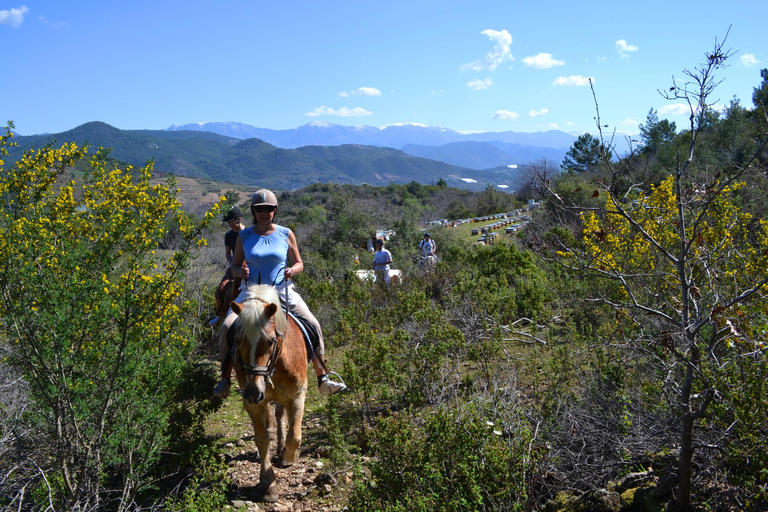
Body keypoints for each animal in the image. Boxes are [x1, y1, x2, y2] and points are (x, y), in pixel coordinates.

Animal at [230, 284, 308, 504]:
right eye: (238, 340)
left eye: (271, 340)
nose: (252, 391)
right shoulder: (253, 404)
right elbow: (262, 438)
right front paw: (267, 484)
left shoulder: (298, 395)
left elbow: (294, 435)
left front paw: (289, 457)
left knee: (283, 418)